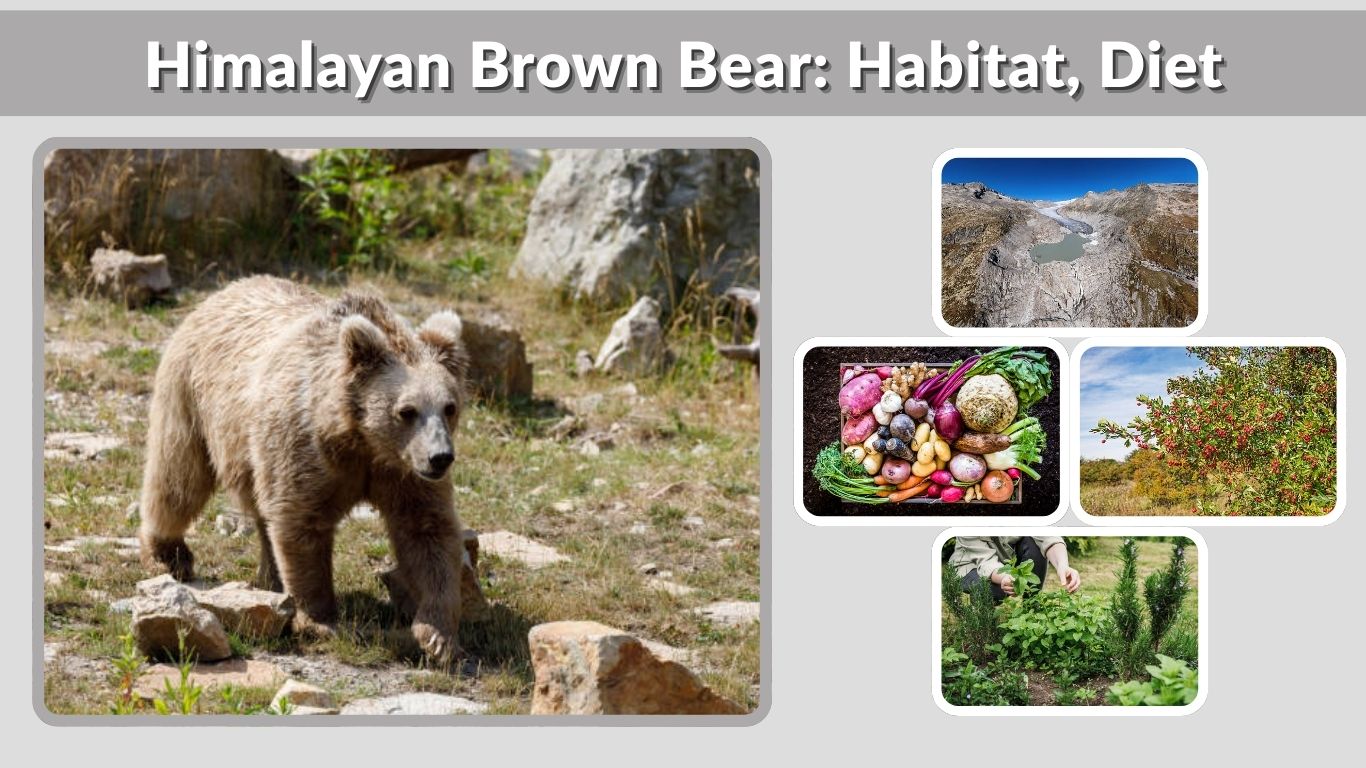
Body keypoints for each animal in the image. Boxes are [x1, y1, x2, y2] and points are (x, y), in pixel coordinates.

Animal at [138, 275, 469, 663]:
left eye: (449, 406)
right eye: (407, 410)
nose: (440, 457)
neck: (362, 441)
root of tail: (225, 289)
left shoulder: (404, 475)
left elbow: (428, 533)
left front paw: (438, 636)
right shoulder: (306, 449)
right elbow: (302, 525)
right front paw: (319, 619)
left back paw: (269, 576)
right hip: (192, 397)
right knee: (178, 477)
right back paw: (168, 553)